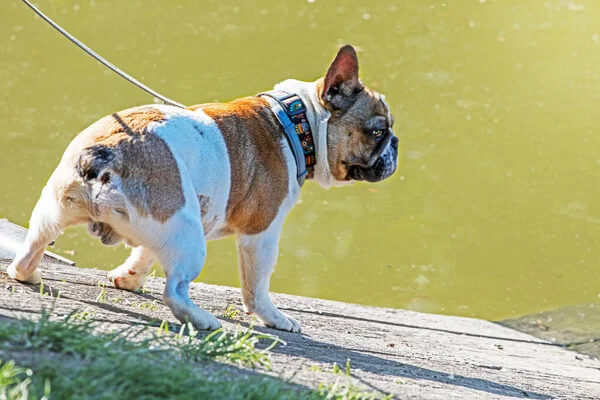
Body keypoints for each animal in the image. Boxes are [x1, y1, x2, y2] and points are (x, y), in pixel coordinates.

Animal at [7, 44, 398, 332]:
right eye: (378, 131)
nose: (395, 143)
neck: (295, 120)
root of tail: (103, 152)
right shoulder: (261, 234)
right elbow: (257, 286)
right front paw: (274, 318)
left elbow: (143, 254)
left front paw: (127, 278)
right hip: (188, 237)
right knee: (176, 290)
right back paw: (203, 320)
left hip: (58, 212)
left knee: (30, 250)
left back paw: (29, 273)